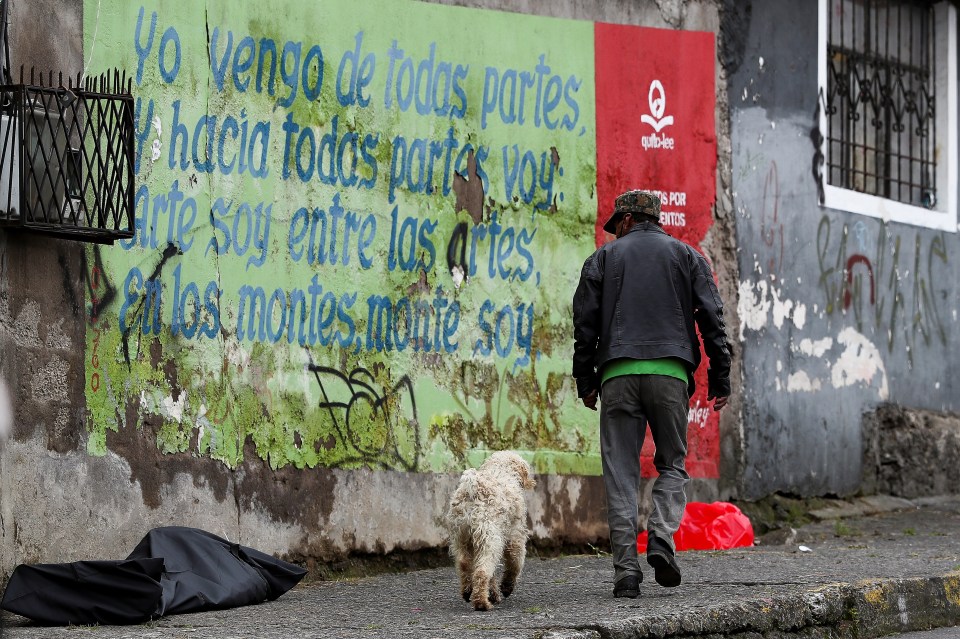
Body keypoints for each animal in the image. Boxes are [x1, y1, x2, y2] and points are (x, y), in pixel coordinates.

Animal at [446, 450, 536, 608]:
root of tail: (472, 489)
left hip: (461, 539)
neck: (503, 470)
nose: (532, 482)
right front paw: (506, 587)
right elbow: (515, 564)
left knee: (464, 565)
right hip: (489, 540)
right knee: (482, 572)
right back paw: (481, 603)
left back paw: (468, 592)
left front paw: (494, 594)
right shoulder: (515, 537)